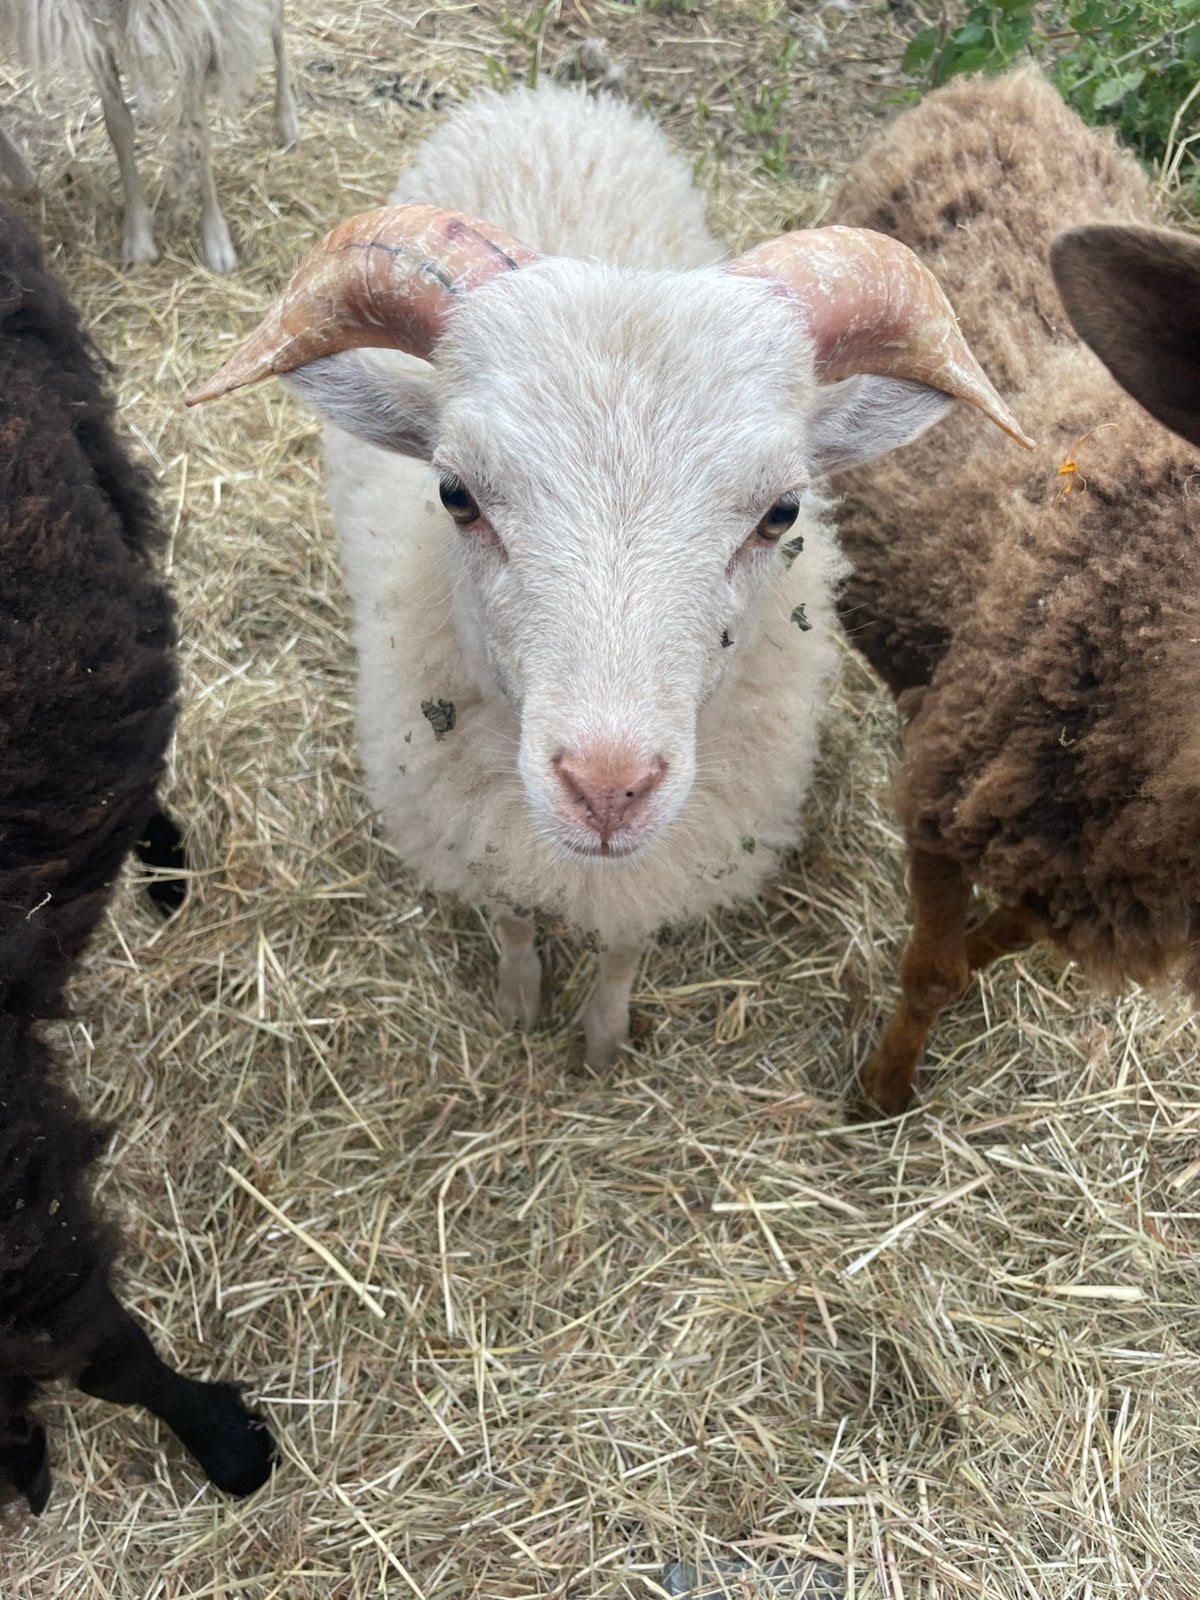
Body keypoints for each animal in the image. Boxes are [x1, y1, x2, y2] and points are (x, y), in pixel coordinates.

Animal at [0, 0, 298, 271]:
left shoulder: (192, 19)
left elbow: (197, 132)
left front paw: (216, 236)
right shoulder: (93, 29)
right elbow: (118, 125)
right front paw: (138, 234)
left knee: (277, 19)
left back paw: (286, 118)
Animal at [188, 82, 1026, 1069]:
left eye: (781, 511)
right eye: (455, 493)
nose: (608, 791)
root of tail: (543, 96)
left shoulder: (657, 864)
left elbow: (624, 948)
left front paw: (601, 1041)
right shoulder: (477, 833)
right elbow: (512, 921)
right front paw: (519, 1005)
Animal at [826, 67, 1200, 1115]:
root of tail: (1006, 80)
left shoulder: (1079, 875)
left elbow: (989, 950)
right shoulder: (944, 800)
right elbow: (932, 973)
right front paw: (882, 1093)